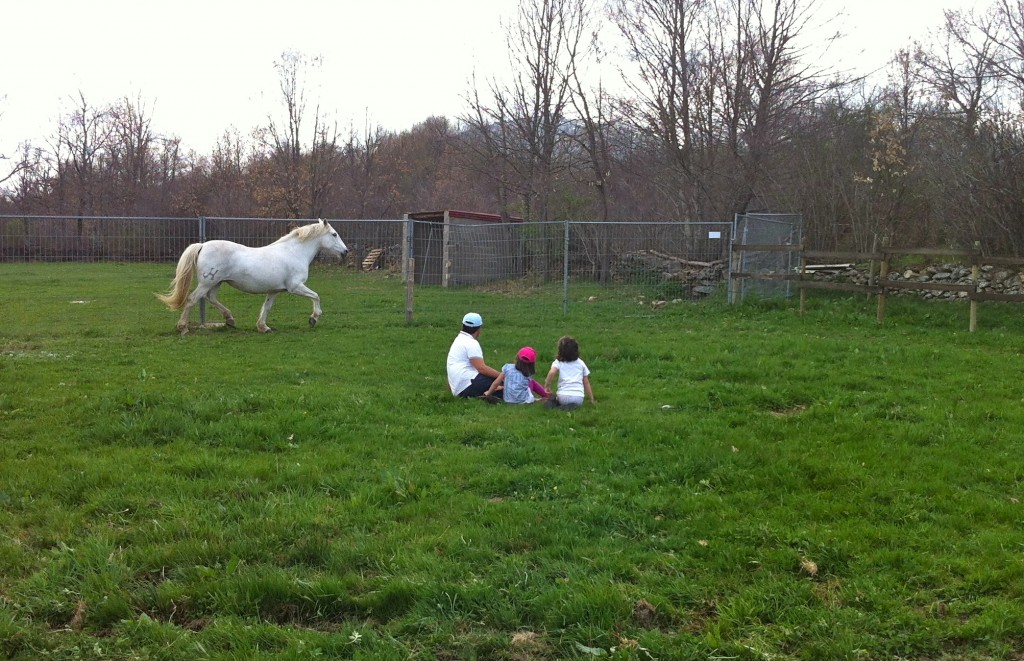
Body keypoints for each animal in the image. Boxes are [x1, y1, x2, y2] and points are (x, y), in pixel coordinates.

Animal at [155, 219, 348, 337]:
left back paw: (230, 319)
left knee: (210, 298)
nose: (345, 252)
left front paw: (263, 327)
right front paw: (314, 318)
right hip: (207, 282)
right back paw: (183, 327)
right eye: (334, 234)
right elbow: (316, 296)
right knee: (192, 299)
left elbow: (267, 307)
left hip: (215, 283)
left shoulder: (275, 290)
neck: (294, 252)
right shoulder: (295, 286)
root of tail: (202, 245)